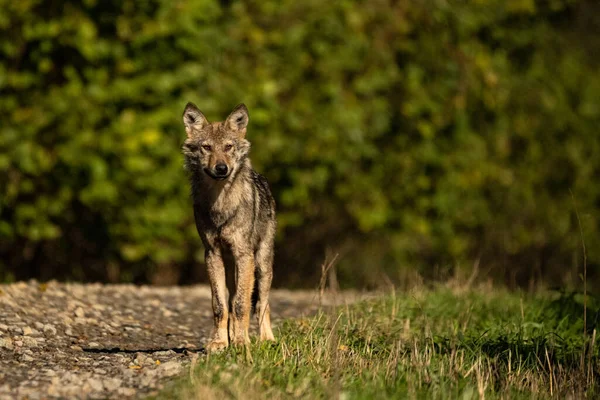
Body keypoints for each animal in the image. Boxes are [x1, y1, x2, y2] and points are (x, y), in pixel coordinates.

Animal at [182, 102, 278, 350]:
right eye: (206, 147)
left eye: (228, 146)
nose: (221, 168)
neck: (221, 204)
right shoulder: (212, 254)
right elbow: (220, 305)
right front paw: (220, 342)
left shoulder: (244, 255)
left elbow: (242, 304)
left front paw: (242, 343)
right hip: (231, 265)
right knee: (233, 300)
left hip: (261, 265)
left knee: (262, 303)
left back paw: (266, 339)